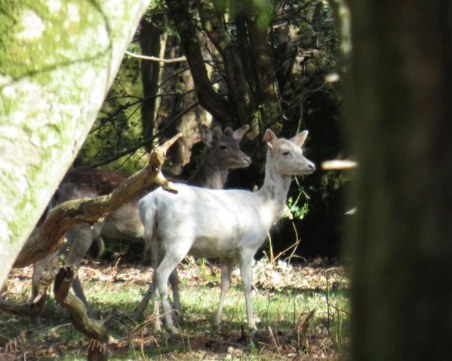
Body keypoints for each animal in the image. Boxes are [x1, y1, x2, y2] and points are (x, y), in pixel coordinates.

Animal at [137, 129, 314, 332]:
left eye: (301, 150)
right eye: (286, 152)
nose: (311, 165)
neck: (264, 209)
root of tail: (151, 202)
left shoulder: (227, 251)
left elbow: (225, 284)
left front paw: (217, 322)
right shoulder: (247, 246)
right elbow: (246, 283)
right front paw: (252, 325)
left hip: (156, 240)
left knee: (153, 275)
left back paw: (157, 326)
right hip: (178, 239)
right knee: (162, 274)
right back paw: (171, 327)